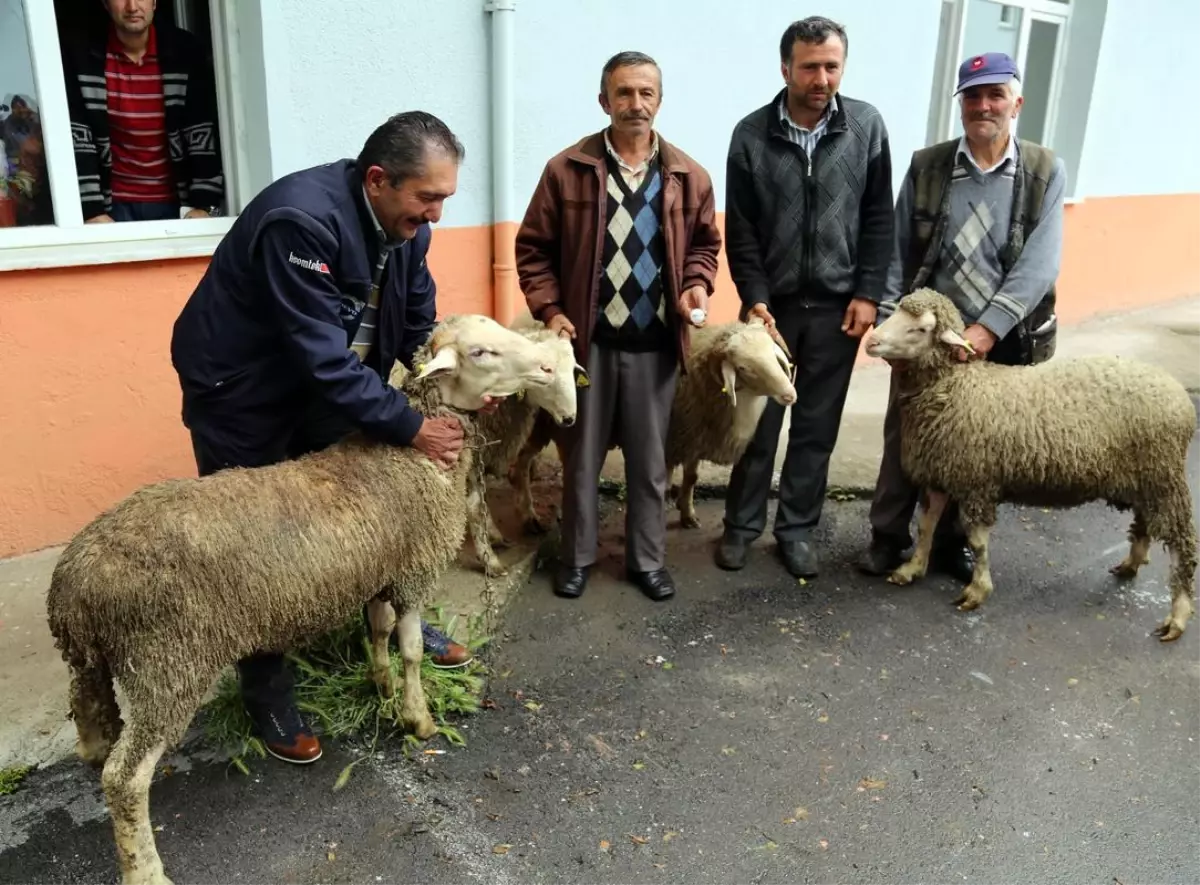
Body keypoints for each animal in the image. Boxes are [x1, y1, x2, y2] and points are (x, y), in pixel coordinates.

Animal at [868, 286, 1195, 637]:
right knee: (1145, 521)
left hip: (1164, 476)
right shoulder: (940, 474)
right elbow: (926, 525)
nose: (871, 341)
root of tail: (1181, 397)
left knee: (1182, 542)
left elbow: (977, 541)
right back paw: (1131, 564)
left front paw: (977, 590)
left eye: (921, 329)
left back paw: (1178, 614)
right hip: (1146, 476)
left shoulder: (977, 483)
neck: (956, 388)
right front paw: (912, 568)